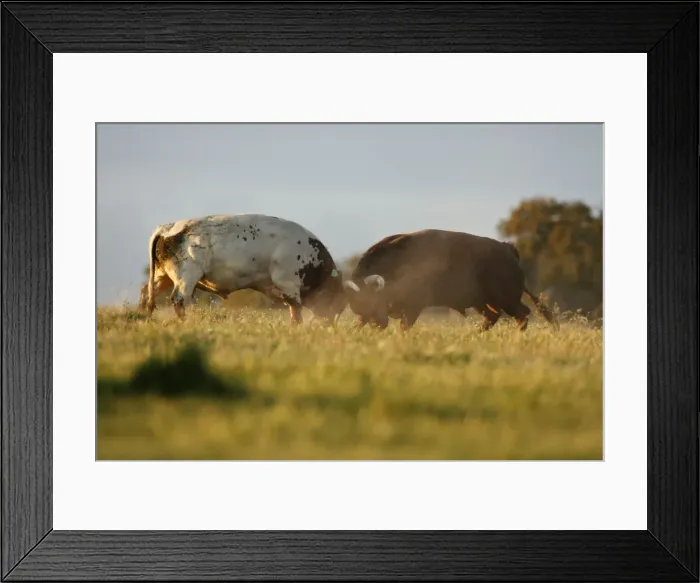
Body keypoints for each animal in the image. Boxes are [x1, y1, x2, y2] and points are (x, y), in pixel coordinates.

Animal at [141, 214, 347, 326]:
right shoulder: (289, 284)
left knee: (146, 294)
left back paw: (144, 318)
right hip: (186, 276)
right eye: (337, 302)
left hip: (162, 276)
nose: (329, 324)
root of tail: (167, 227)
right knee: (179, 300)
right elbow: (295, 311)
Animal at [342, 229, 558, 332]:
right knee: (494, 317)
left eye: (372, 298)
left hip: (507, 300)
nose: (378, 324)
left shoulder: (414, 307)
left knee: (522, 315)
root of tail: (507, 248)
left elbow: (405, 325)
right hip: (484, 302)